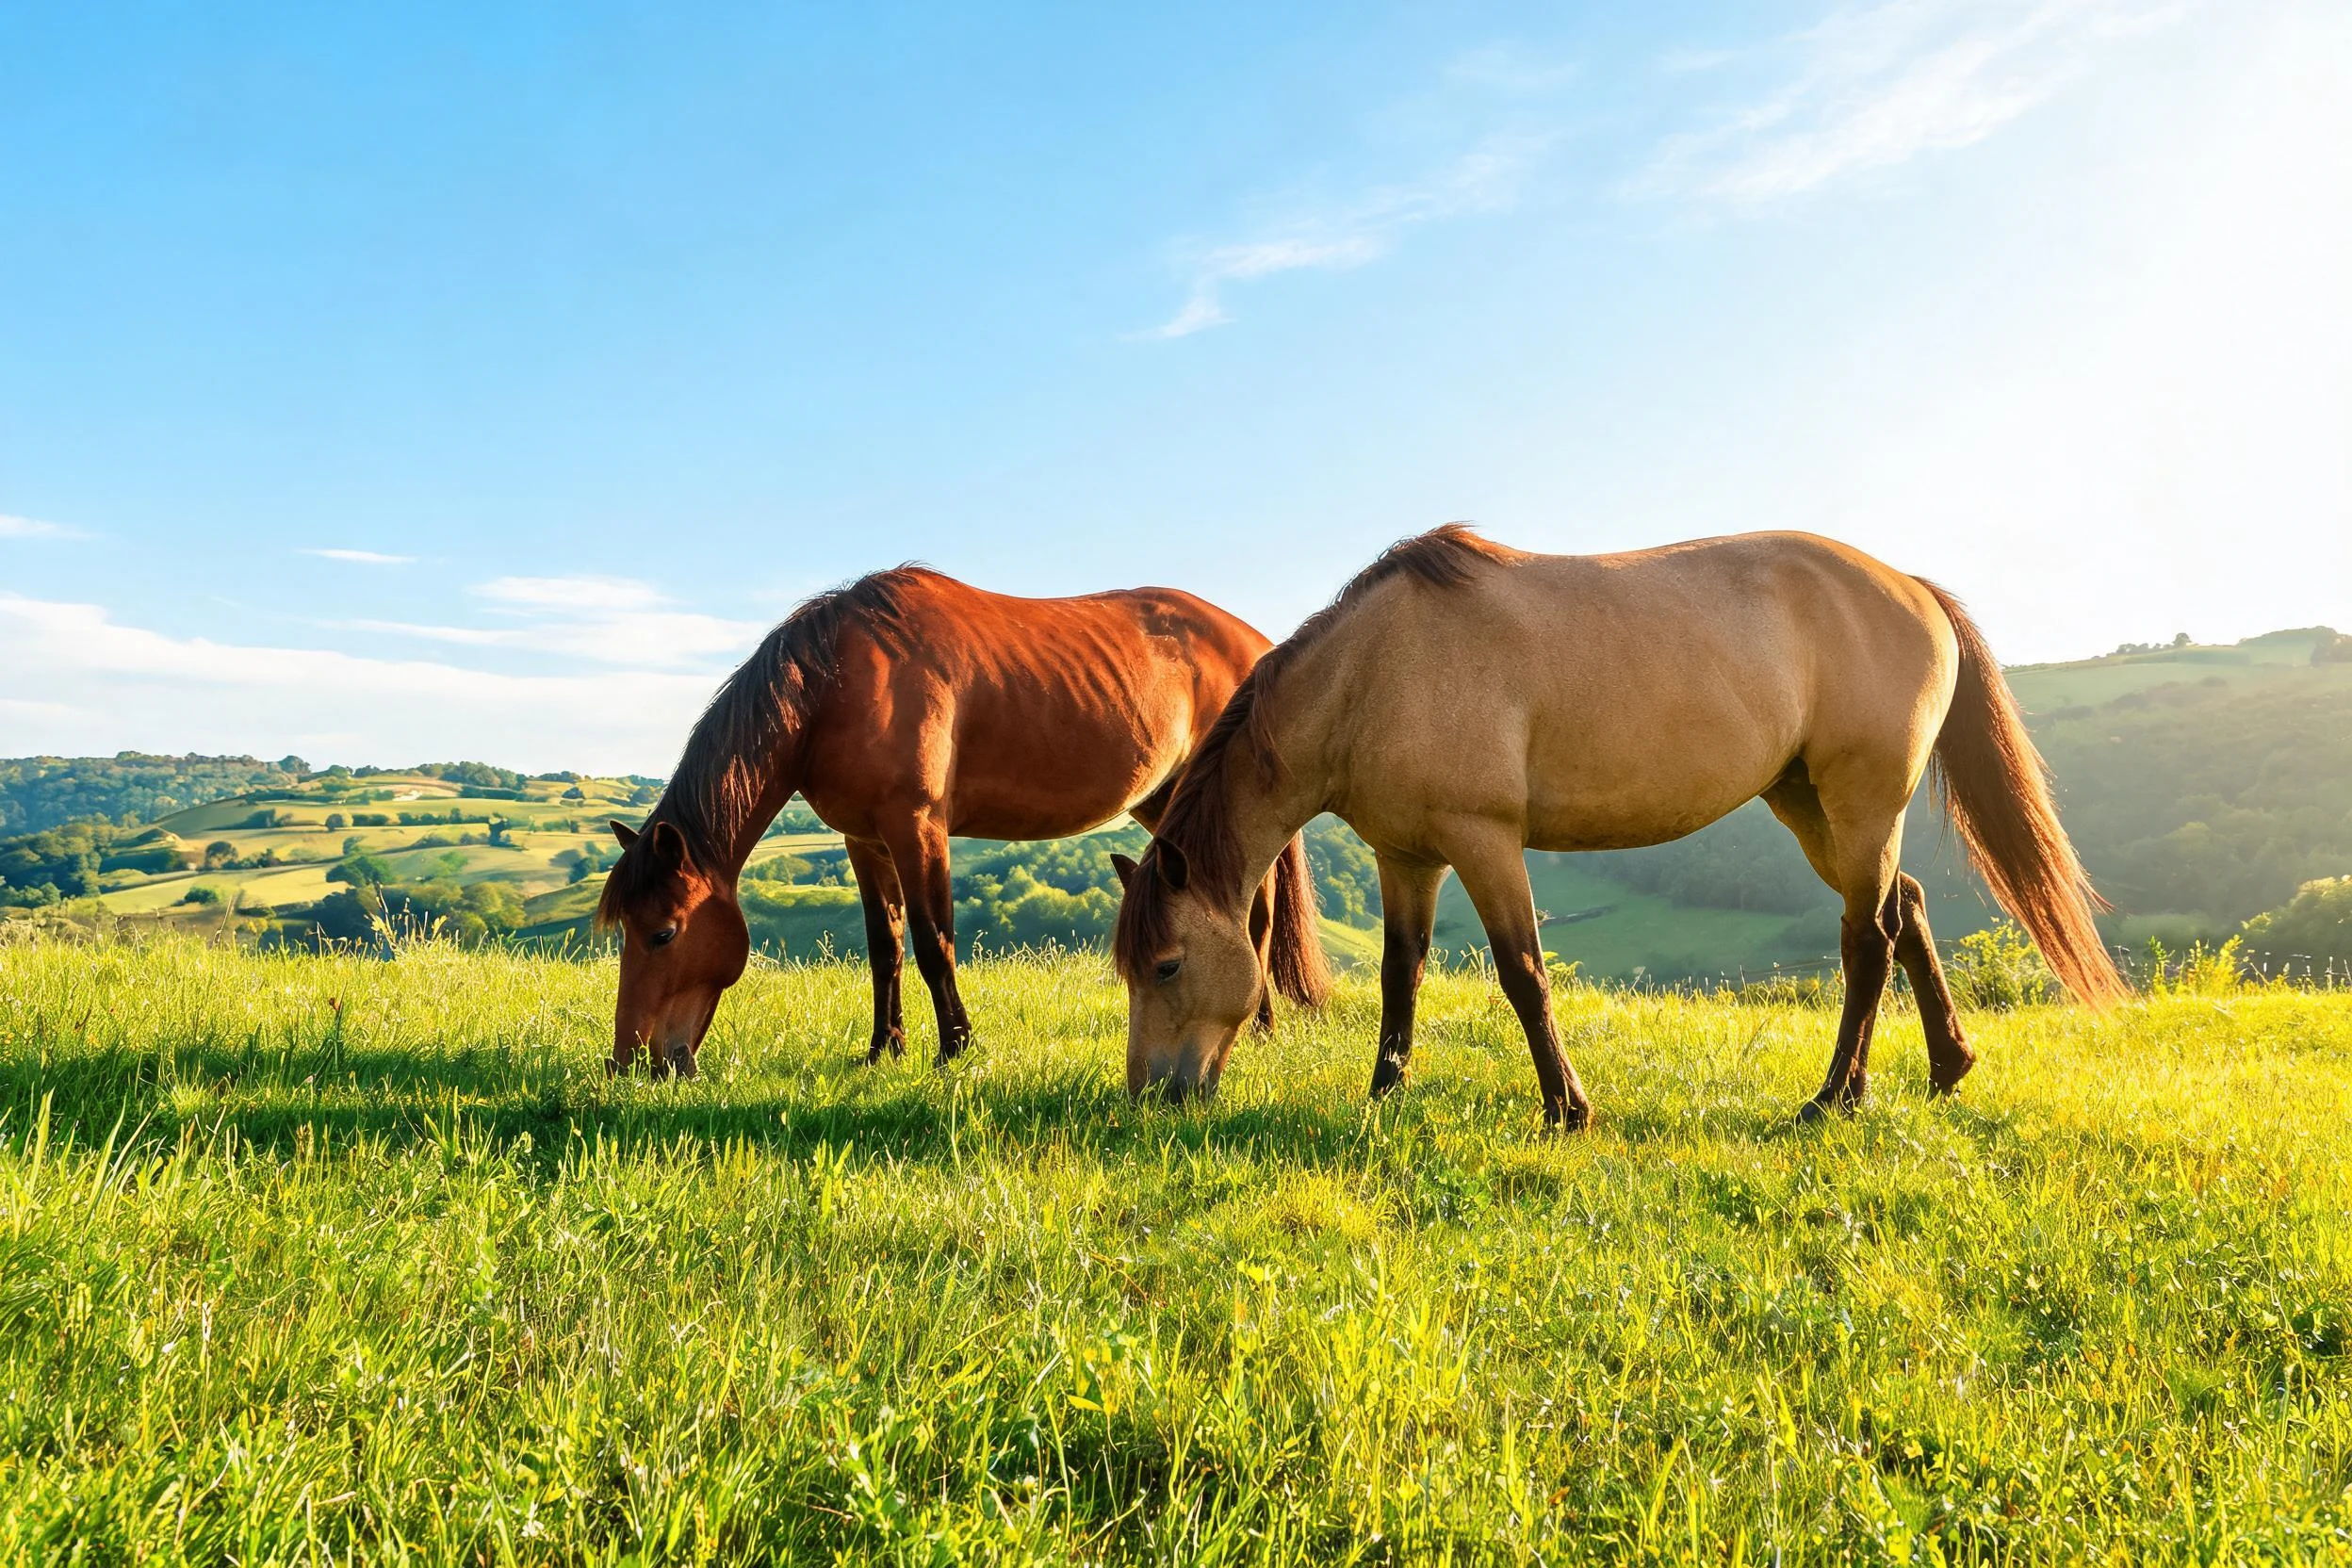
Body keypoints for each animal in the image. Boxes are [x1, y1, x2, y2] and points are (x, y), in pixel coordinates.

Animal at [598, 566, 1330, 1076]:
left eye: (663, 933)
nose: (627, 1061)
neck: (835, 685)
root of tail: (1258, 645)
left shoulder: (917, 826)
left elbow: (933, 942)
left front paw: (954, 1048)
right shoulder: (864, 840)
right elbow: (886, 949)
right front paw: (883, 1049)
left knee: (1257, 912)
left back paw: (1260, 1027)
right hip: (1165, 799)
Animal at [1111, 525, 2123, 1128]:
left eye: (1166, 965)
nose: (1150, 1098)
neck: (1373, 671)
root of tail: (1908, 583)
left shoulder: (1485, 842)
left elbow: (1523, 975)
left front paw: (1567, 1109)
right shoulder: (1407, 858)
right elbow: (1403, 977)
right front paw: (1384, 1093)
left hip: (1860, 804)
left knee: (1868, 940)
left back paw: (1832, 1099)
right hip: (1809, 806)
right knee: (1904, 909)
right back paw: (1945, 1067)